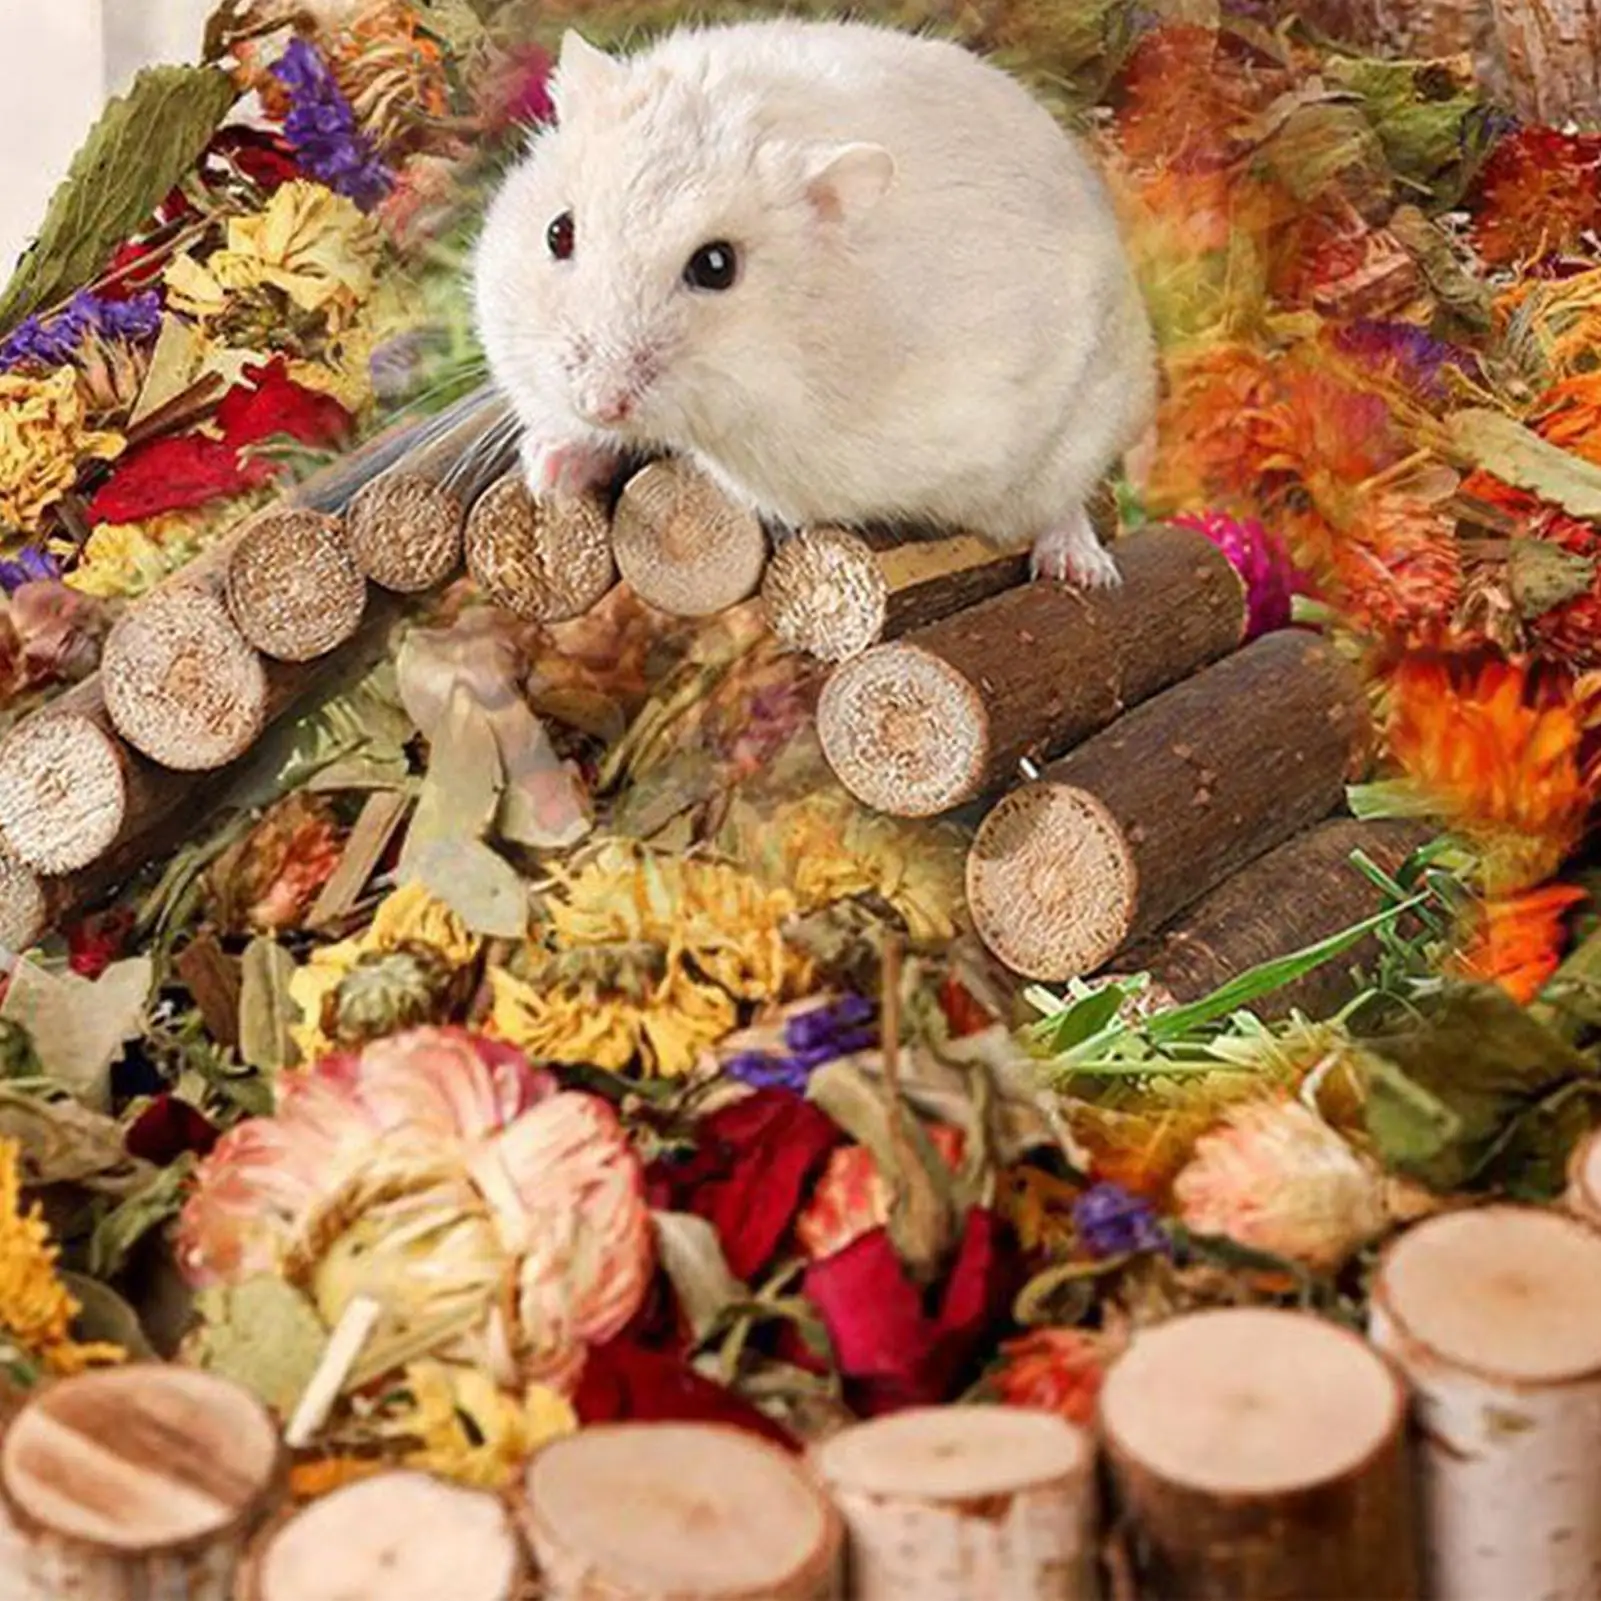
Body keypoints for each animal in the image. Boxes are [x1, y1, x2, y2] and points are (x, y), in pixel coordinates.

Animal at [474, 17, 1157, 586]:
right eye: (558, 233)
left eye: (716, 266)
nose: (600, 403)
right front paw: (547, 470)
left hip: (1085, 416)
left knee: (1059, 499)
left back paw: (1080, 570)